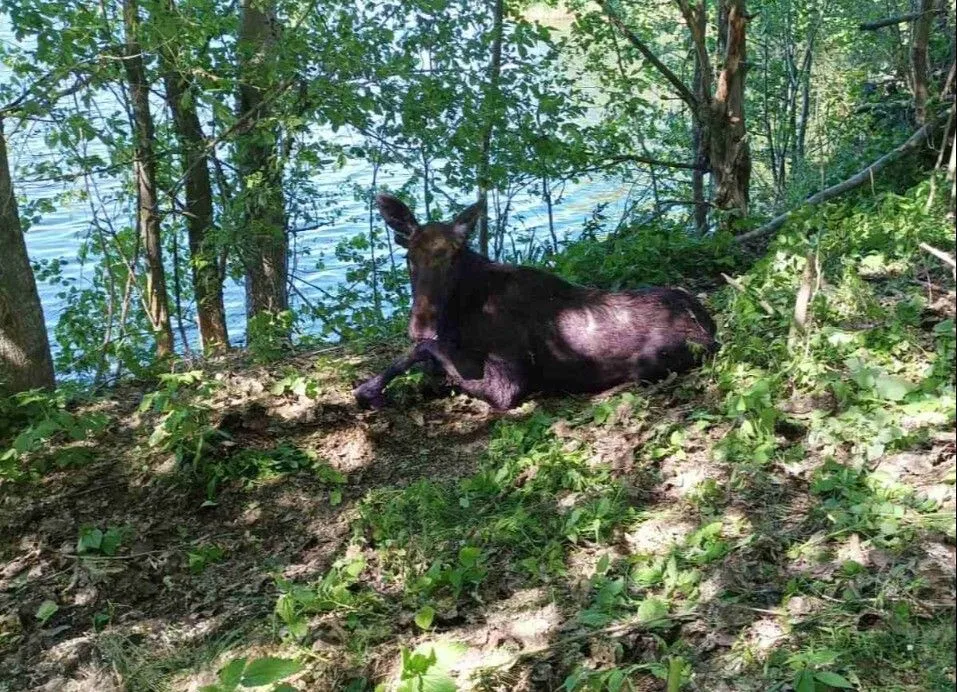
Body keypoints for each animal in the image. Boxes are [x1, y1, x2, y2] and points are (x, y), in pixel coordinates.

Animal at [352, 195, 716, 410]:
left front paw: (369, 388)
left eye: (455, 255)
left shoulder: (508, 383)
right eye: (408, 257)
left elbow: (423, 352)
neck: (461, 312)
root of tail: (711, 329)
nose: (421, 325)